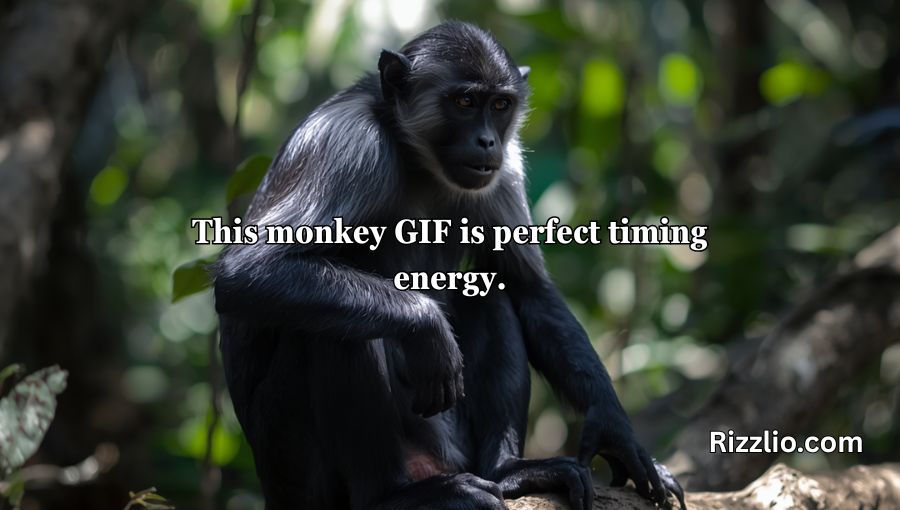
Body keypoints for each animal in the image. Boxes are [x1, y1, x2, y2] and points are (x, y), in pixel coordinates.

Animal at [213, 21, 686, 510]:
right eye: (464, 102)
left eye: (499, 105)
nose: (487, 139)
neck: (416, 158)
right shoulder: (347, 144)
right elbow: (247, 272)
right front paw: (426, 325)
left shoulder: (504, 166)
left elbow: (528, 288)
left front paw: (616, 432)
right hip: (301, 467)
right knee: (334, 333)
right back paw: (396, 496)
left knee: (491, 291)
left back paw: (507, 470)